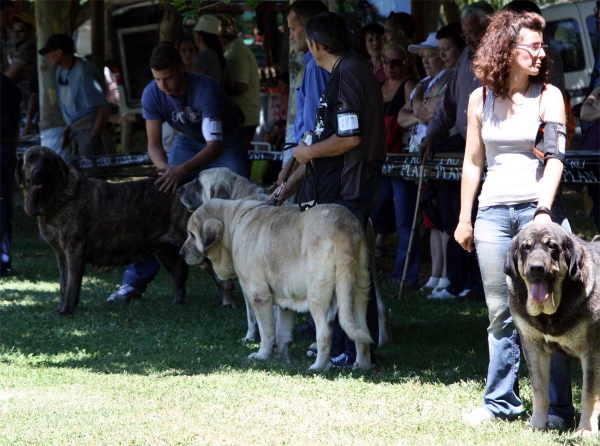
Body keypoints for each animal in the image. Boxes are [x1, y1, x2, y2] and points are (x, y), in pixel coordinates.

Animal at [180, 200, 372, 372]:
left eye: (191, 235)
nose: (181, 253)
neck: (233, 224)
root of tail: (344, 227)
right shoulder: (285, 298)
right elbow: (282, 330)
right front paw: (282, 355)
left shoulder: (258, 295)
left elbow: (267, 331)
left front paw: (261, 355)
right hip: (359, 291)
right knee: (362, 332)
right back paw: (361, 366)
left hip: (317, 296)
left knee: (324, 333)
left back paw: (319, 367)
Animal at [506, 223, 600, 436]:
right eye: (526, 247)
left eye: (552, 247)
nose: (536, 267)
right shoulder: (533, 348)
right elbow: (540, 391)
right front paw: (537, 424)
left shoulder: (591, 352)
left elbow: (588, 394)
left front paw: (585, 430)